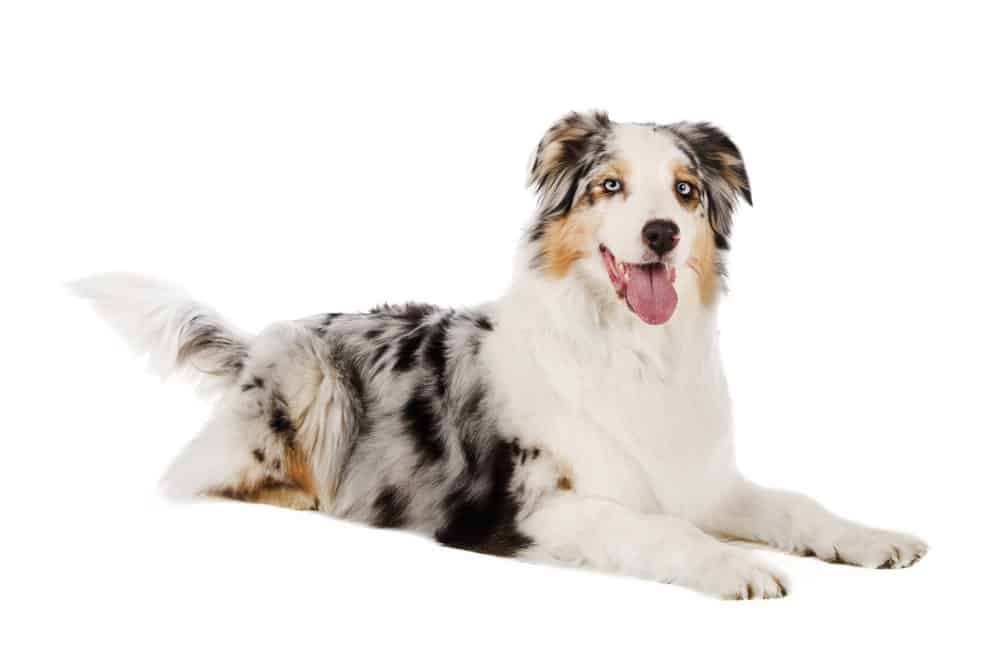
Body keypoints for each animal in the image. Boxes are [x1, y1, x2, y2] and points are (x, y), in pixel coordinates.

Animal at [74, 111, 924, 600]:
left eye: (685, 191)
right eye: (609, 186)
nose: (661, 234)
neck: (633, 353)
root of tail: (257, 340)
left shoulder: (702, 479)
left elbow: (794, 503)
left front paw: (873, 537)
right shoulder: (521, 509)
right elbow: (655, 529)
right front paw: (735, 566)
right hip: (313, 380)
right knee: (194, 477)